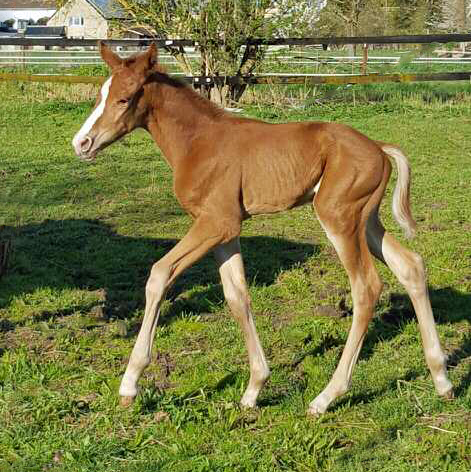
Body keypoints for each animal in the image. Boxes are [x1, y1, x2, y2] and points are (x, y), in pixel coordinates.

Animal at [73, 43, 454, 412]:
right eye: (101, 94)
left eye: (124, 98)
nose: (82, 143)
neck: (198, 142)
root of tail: (379, 147)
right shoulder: (226, 231)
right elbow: (237, 295)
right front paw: (254, 389)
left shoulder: (216, 223)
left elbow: (159, 274)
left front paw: (130, 385)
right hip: (367, 220)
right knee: (411, 265)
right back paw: (442, 380)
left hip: (339, 217)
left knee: (367, 288)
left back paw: (326, 397)